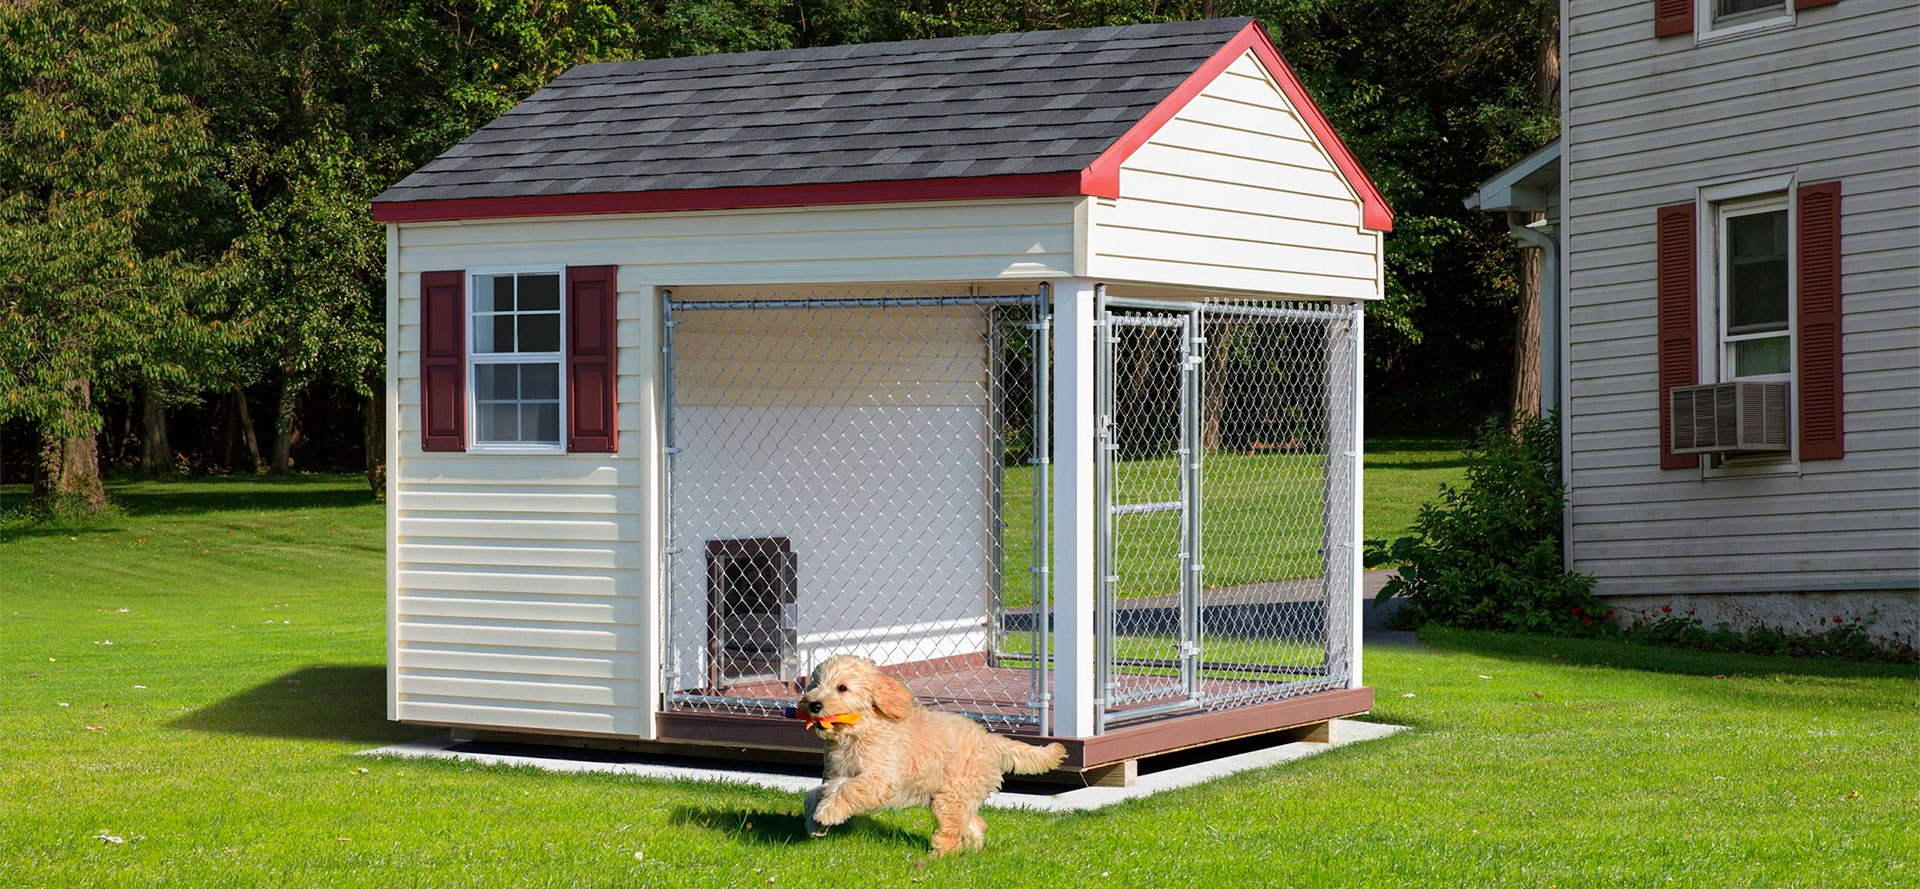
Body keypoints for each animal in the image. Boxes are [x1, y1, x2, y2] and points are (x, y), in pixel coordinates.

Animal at [794, 652, 1067, 856]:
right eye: (815, 684)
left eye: (842, 688)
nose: (814, 704)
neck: (860, 730)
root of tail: (988, 738)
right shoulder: (836, 774)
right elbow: (816, 793)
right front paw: (815, 823)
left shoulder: (881, 779)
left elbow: (850, 789)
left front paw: (827, 813)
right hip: (957, 796)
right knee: (974, 822)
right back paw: (972, 850)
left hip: (952, 796)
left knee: (953, 829)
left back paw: (940, 857)